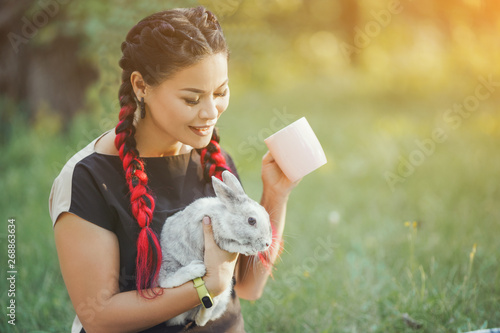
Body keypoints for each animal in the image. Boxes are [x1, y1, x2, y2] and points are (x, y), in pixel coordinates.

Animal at [158, 170, 272, 326]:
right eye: (251, 220)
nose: (267, 243)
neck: (226, 216)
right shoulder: (218, 236)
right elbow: (232, 244)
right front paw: (248, 250)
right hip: (170, 262)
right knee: (165, 282)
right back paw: (196, 268)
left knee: (205, 314)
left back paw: (201, 316)